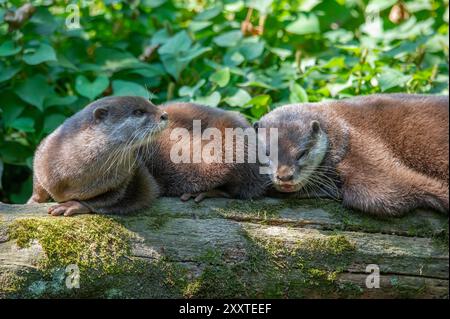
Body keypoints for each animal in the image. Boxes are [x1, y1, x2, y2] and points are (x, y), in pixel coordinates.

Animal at [28, 97, 169, 218]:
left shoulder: (129, 177)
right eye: (139, 112)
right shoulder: (43, 152)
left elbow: (115, 198)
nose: (165, 115)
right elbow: (38, 182)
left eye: (151, 103)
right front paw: (33, 200)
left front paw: (72, 204)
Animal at [255, 94, 448, 216]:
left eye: (302, 153)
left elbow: (393, 190)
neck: (341, 132)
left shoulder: (364, 152)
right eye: (267, 153)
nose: (284, 176)